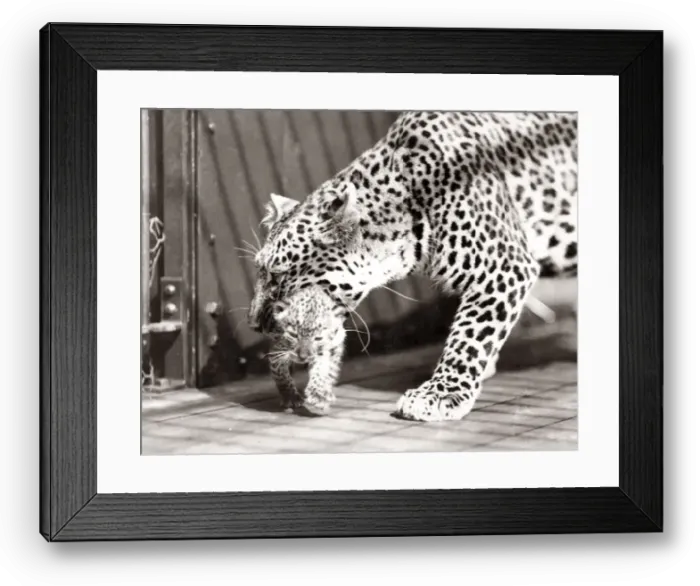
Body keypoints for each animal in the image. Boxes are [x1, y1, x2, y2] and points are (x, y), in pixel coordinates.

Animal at [265, 285, 348, 416]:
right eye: (293, 335)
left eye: (318, 338)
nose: (303, 356)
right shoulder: (277, 350)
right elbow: (281, 375)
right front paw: (290, 397)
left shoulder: (324, 351)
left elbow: (320, 370)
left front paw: (318, 395)